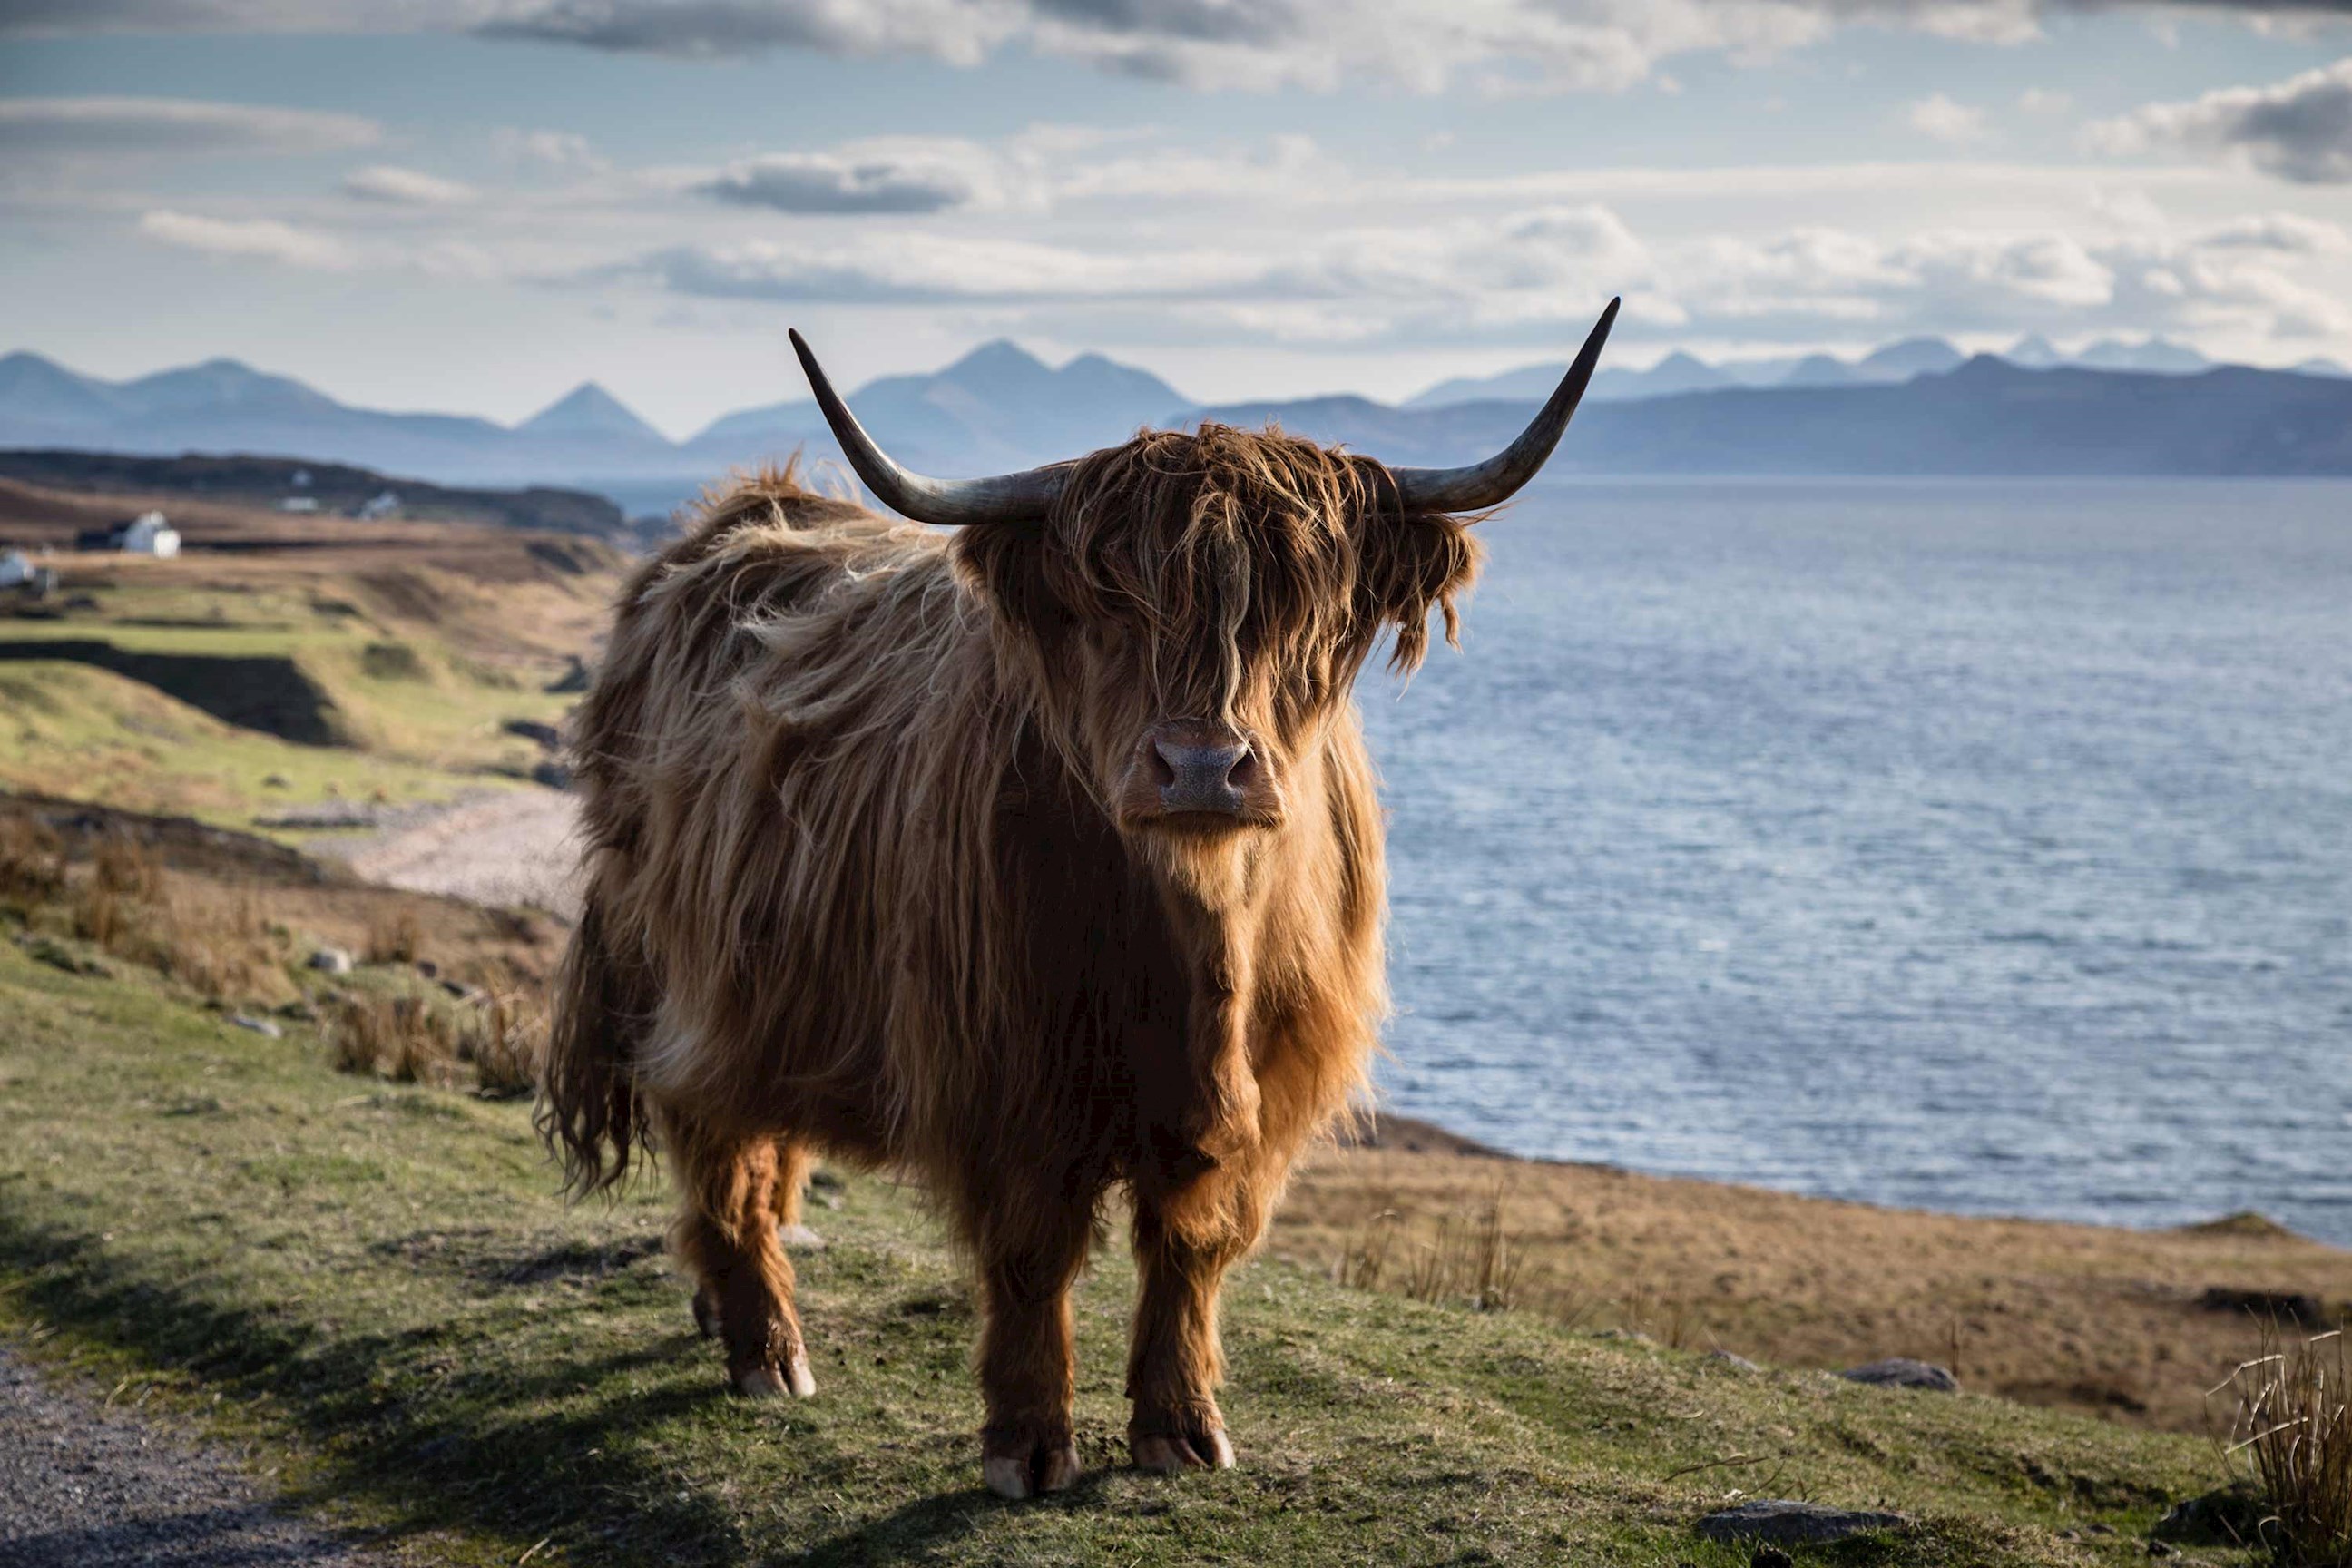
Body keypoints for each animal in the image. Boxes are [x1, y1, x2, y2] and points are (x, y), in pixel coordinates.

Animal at [541, 299, 1618, 1500]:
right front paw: (1026, 1444)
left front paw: (1182, 1429)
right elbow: (1031, 1251)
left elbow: (1193, 1243)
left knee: (761, 1143)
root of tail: (734, 520)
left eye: (1302, 607)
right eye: (1109, 610)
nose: (1203, 767)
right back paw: (765, 1350)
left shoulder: (1261, 1094)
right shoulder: (1005, 1075)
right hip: (674, 973)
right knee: (713, 1137)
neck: (1195, 949)